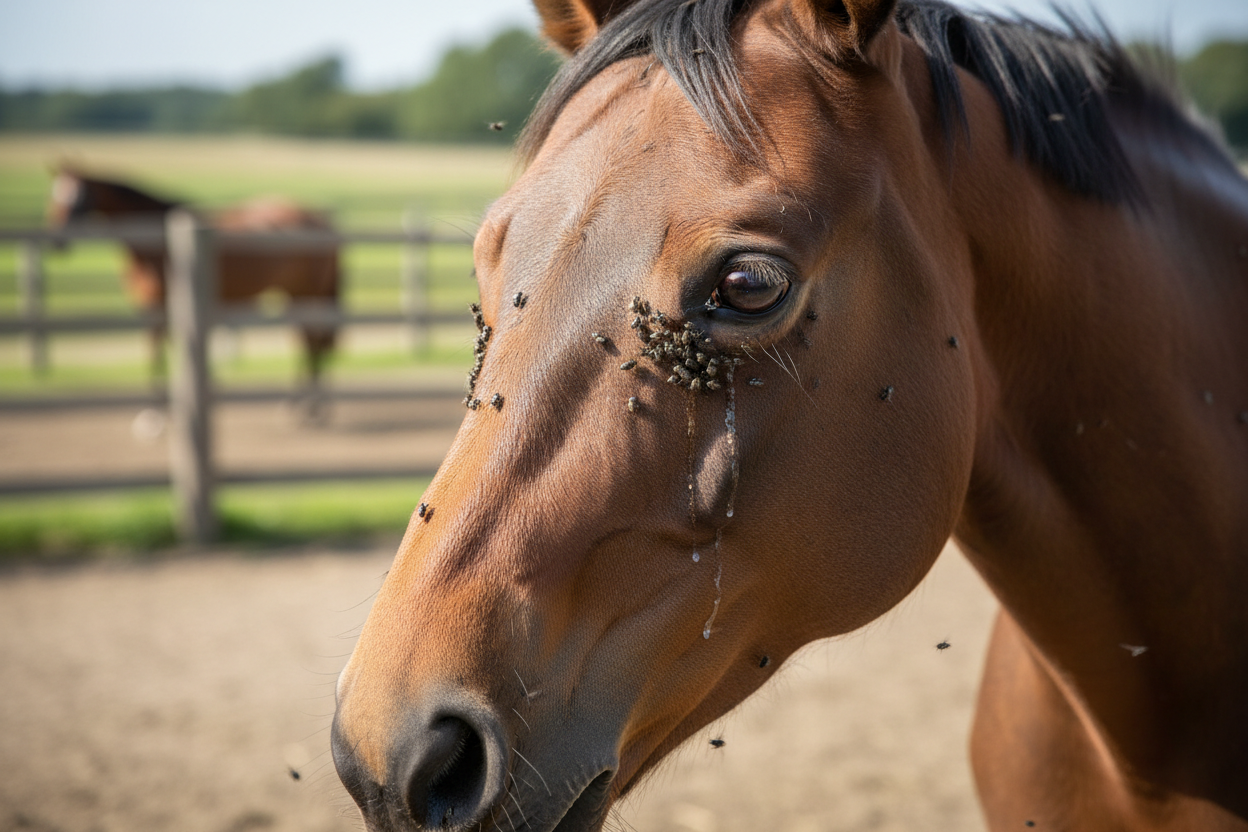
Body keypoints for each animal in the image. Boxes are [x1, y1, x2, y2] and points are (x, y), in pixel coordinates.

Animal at [46, 166, 341, 413]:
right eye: (55, 197)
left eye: (80, 200)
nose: (57, 243)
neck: (158, 244)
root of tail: (320, 219)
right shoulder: (156, 310)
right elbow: (167, 351)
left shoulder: (160, 308)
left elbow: (157, 352)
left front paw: (155, 414)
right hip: (295, 294)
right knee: (306, 340)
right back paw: (300, 404)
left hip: (307, 293)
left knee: (313, 340)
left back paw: (311, 407)